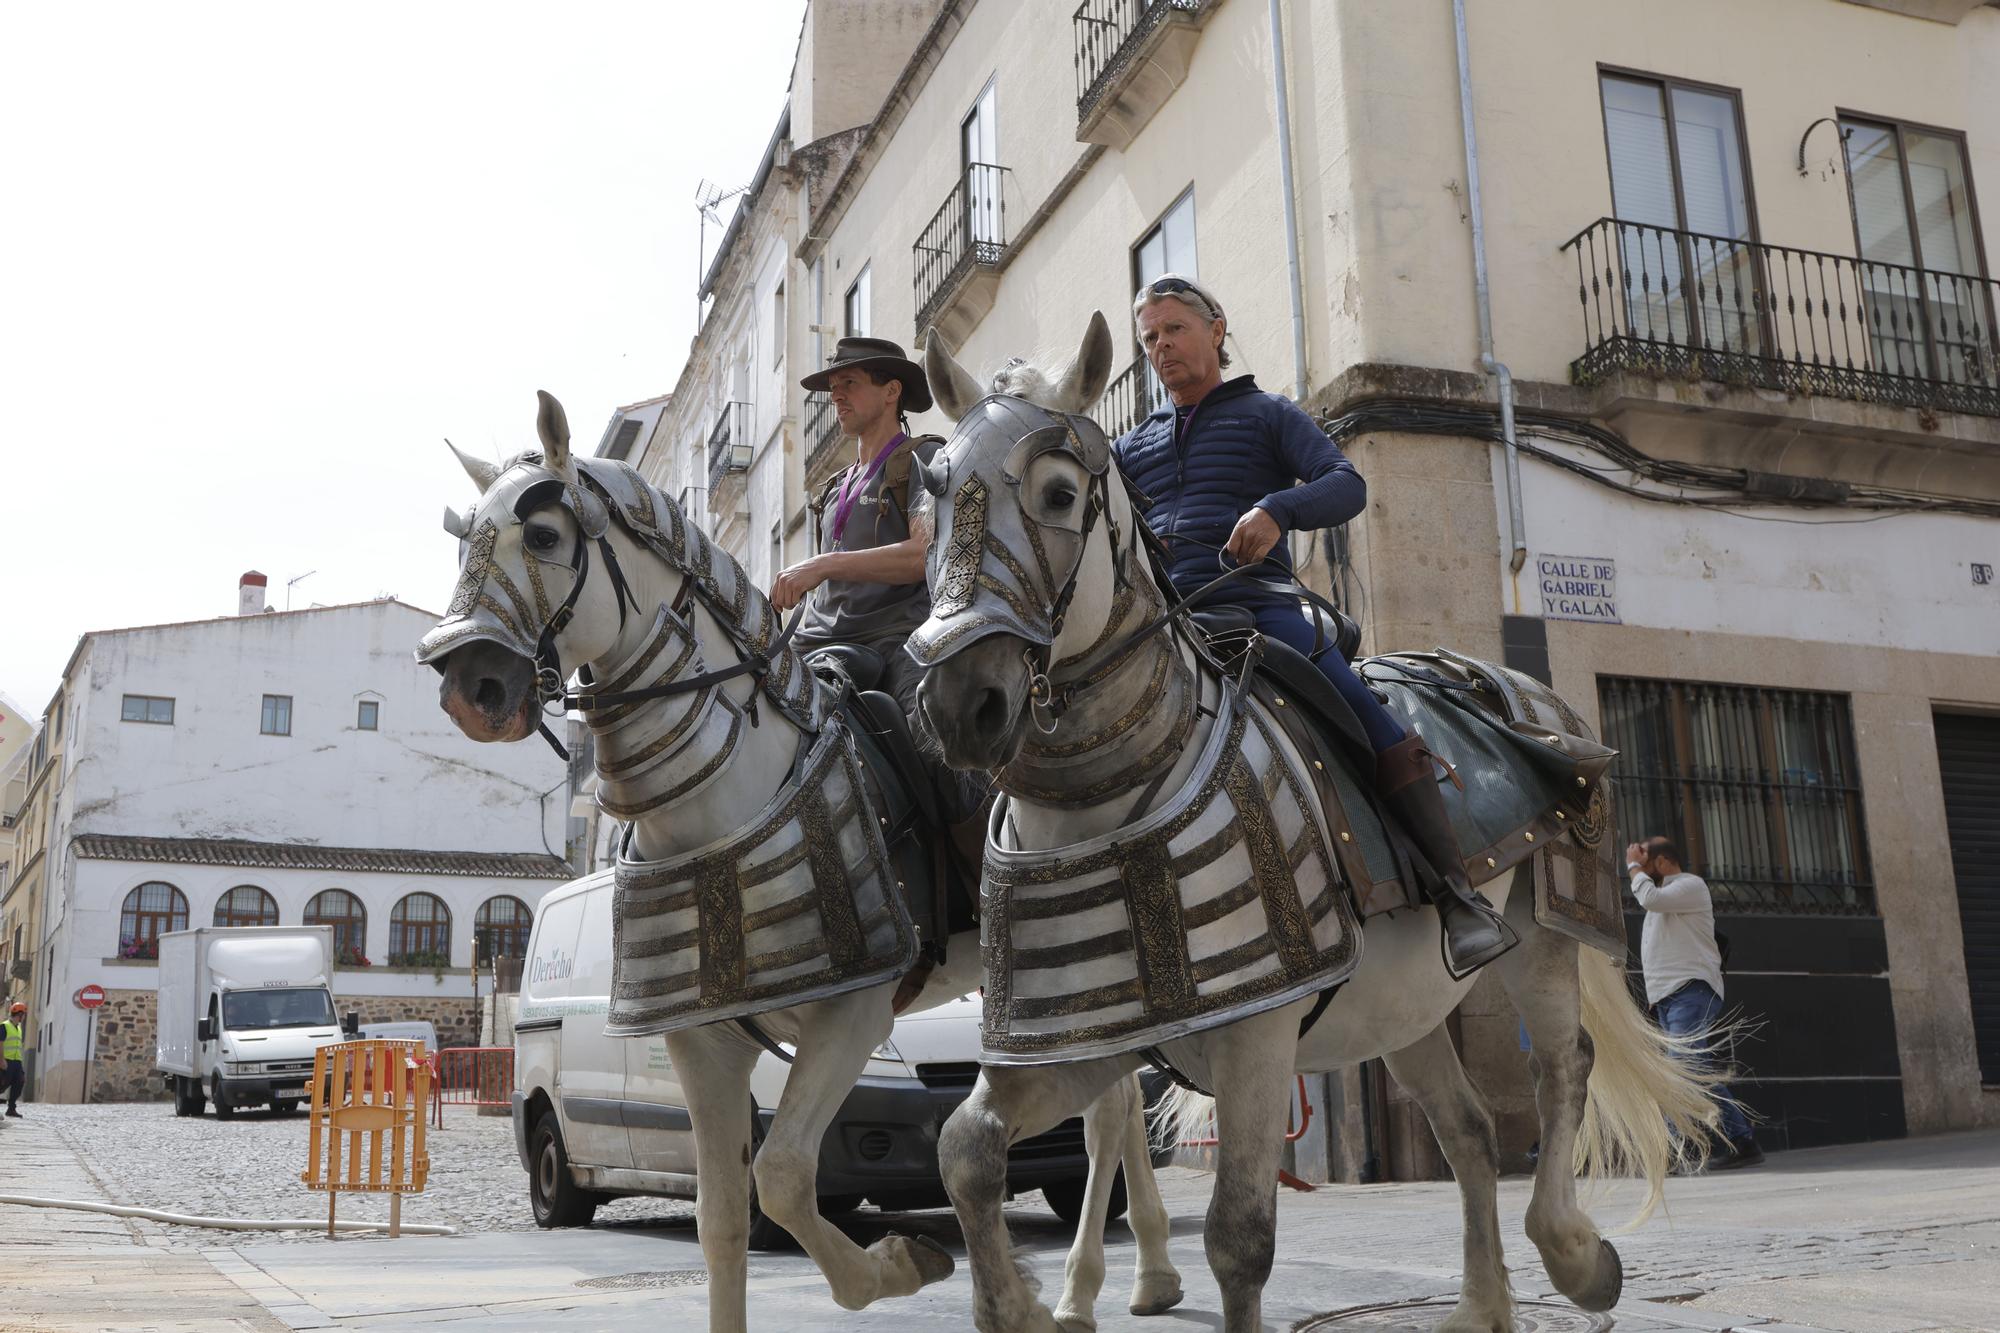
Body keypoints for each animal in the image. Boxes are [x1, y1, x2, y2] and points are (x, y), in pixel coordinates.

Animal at [414, 392, 1176, 1328]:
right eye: (463, 542)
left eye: (547, 535)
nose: (469, 688)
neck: (722, 798)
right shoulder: (701, 1044)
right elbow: (722, 1220)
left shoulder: (852, 1015)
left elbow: (780, 1178)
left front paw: (908, 1261)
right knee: (1116, 1105)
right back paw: (1127, 1280)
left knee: (1110, 1111)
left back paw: (1088, 1283)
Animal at [916, 320, 1720, 1328]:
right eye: (932, 493)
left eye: (1060, 493)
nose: (960, 702)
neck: (1094, 799)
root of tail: (1508, 682)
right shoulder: (1079, 1047)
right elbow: (966, 1152)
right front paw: (1033, 1304)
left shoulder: (1257, 1039)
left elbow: (1239, 1237)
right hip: (1406, 998)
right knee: (1467, 1129)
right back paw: (1481, 1305)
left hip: (1545, 931)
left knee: (1561, 1066)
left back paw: (1575, 1257)